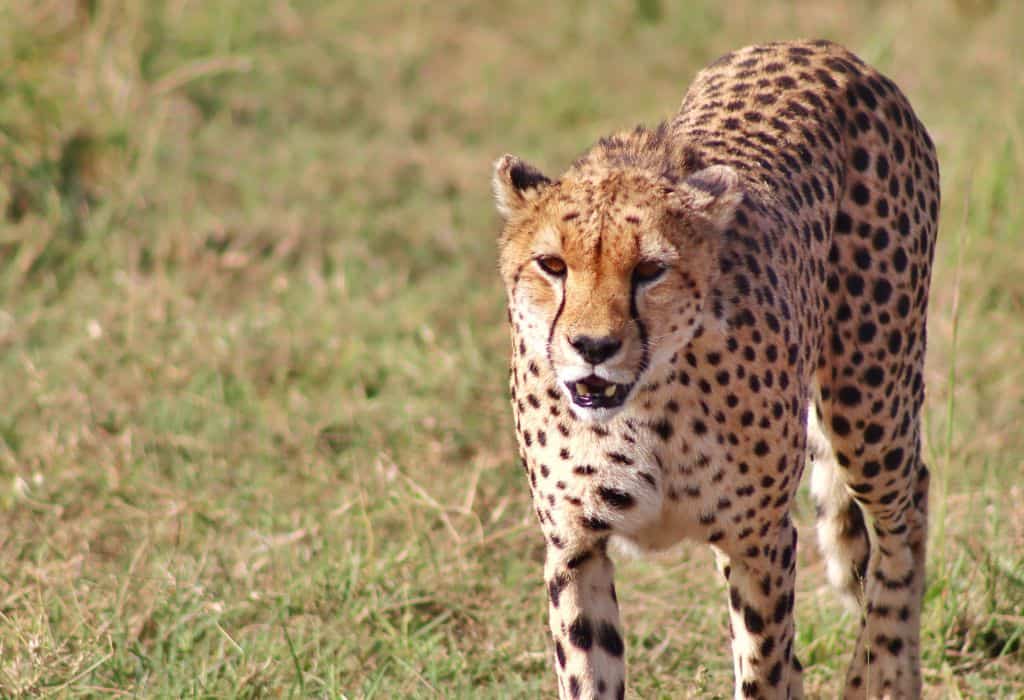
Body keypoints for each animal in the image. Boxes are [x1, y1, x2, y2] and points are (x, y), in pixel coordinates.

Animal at [491, 40, 937, 695]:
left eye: (650, 270)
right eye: (552, 265)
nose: (592, 346)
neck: (645, 408)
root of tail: (819, 48)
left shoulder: (760, 540)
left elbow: (762, 670)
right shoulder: (575, 545)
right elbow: (590, 669)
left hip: (870, 398)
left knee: (907, 512)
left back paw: (881, 672)